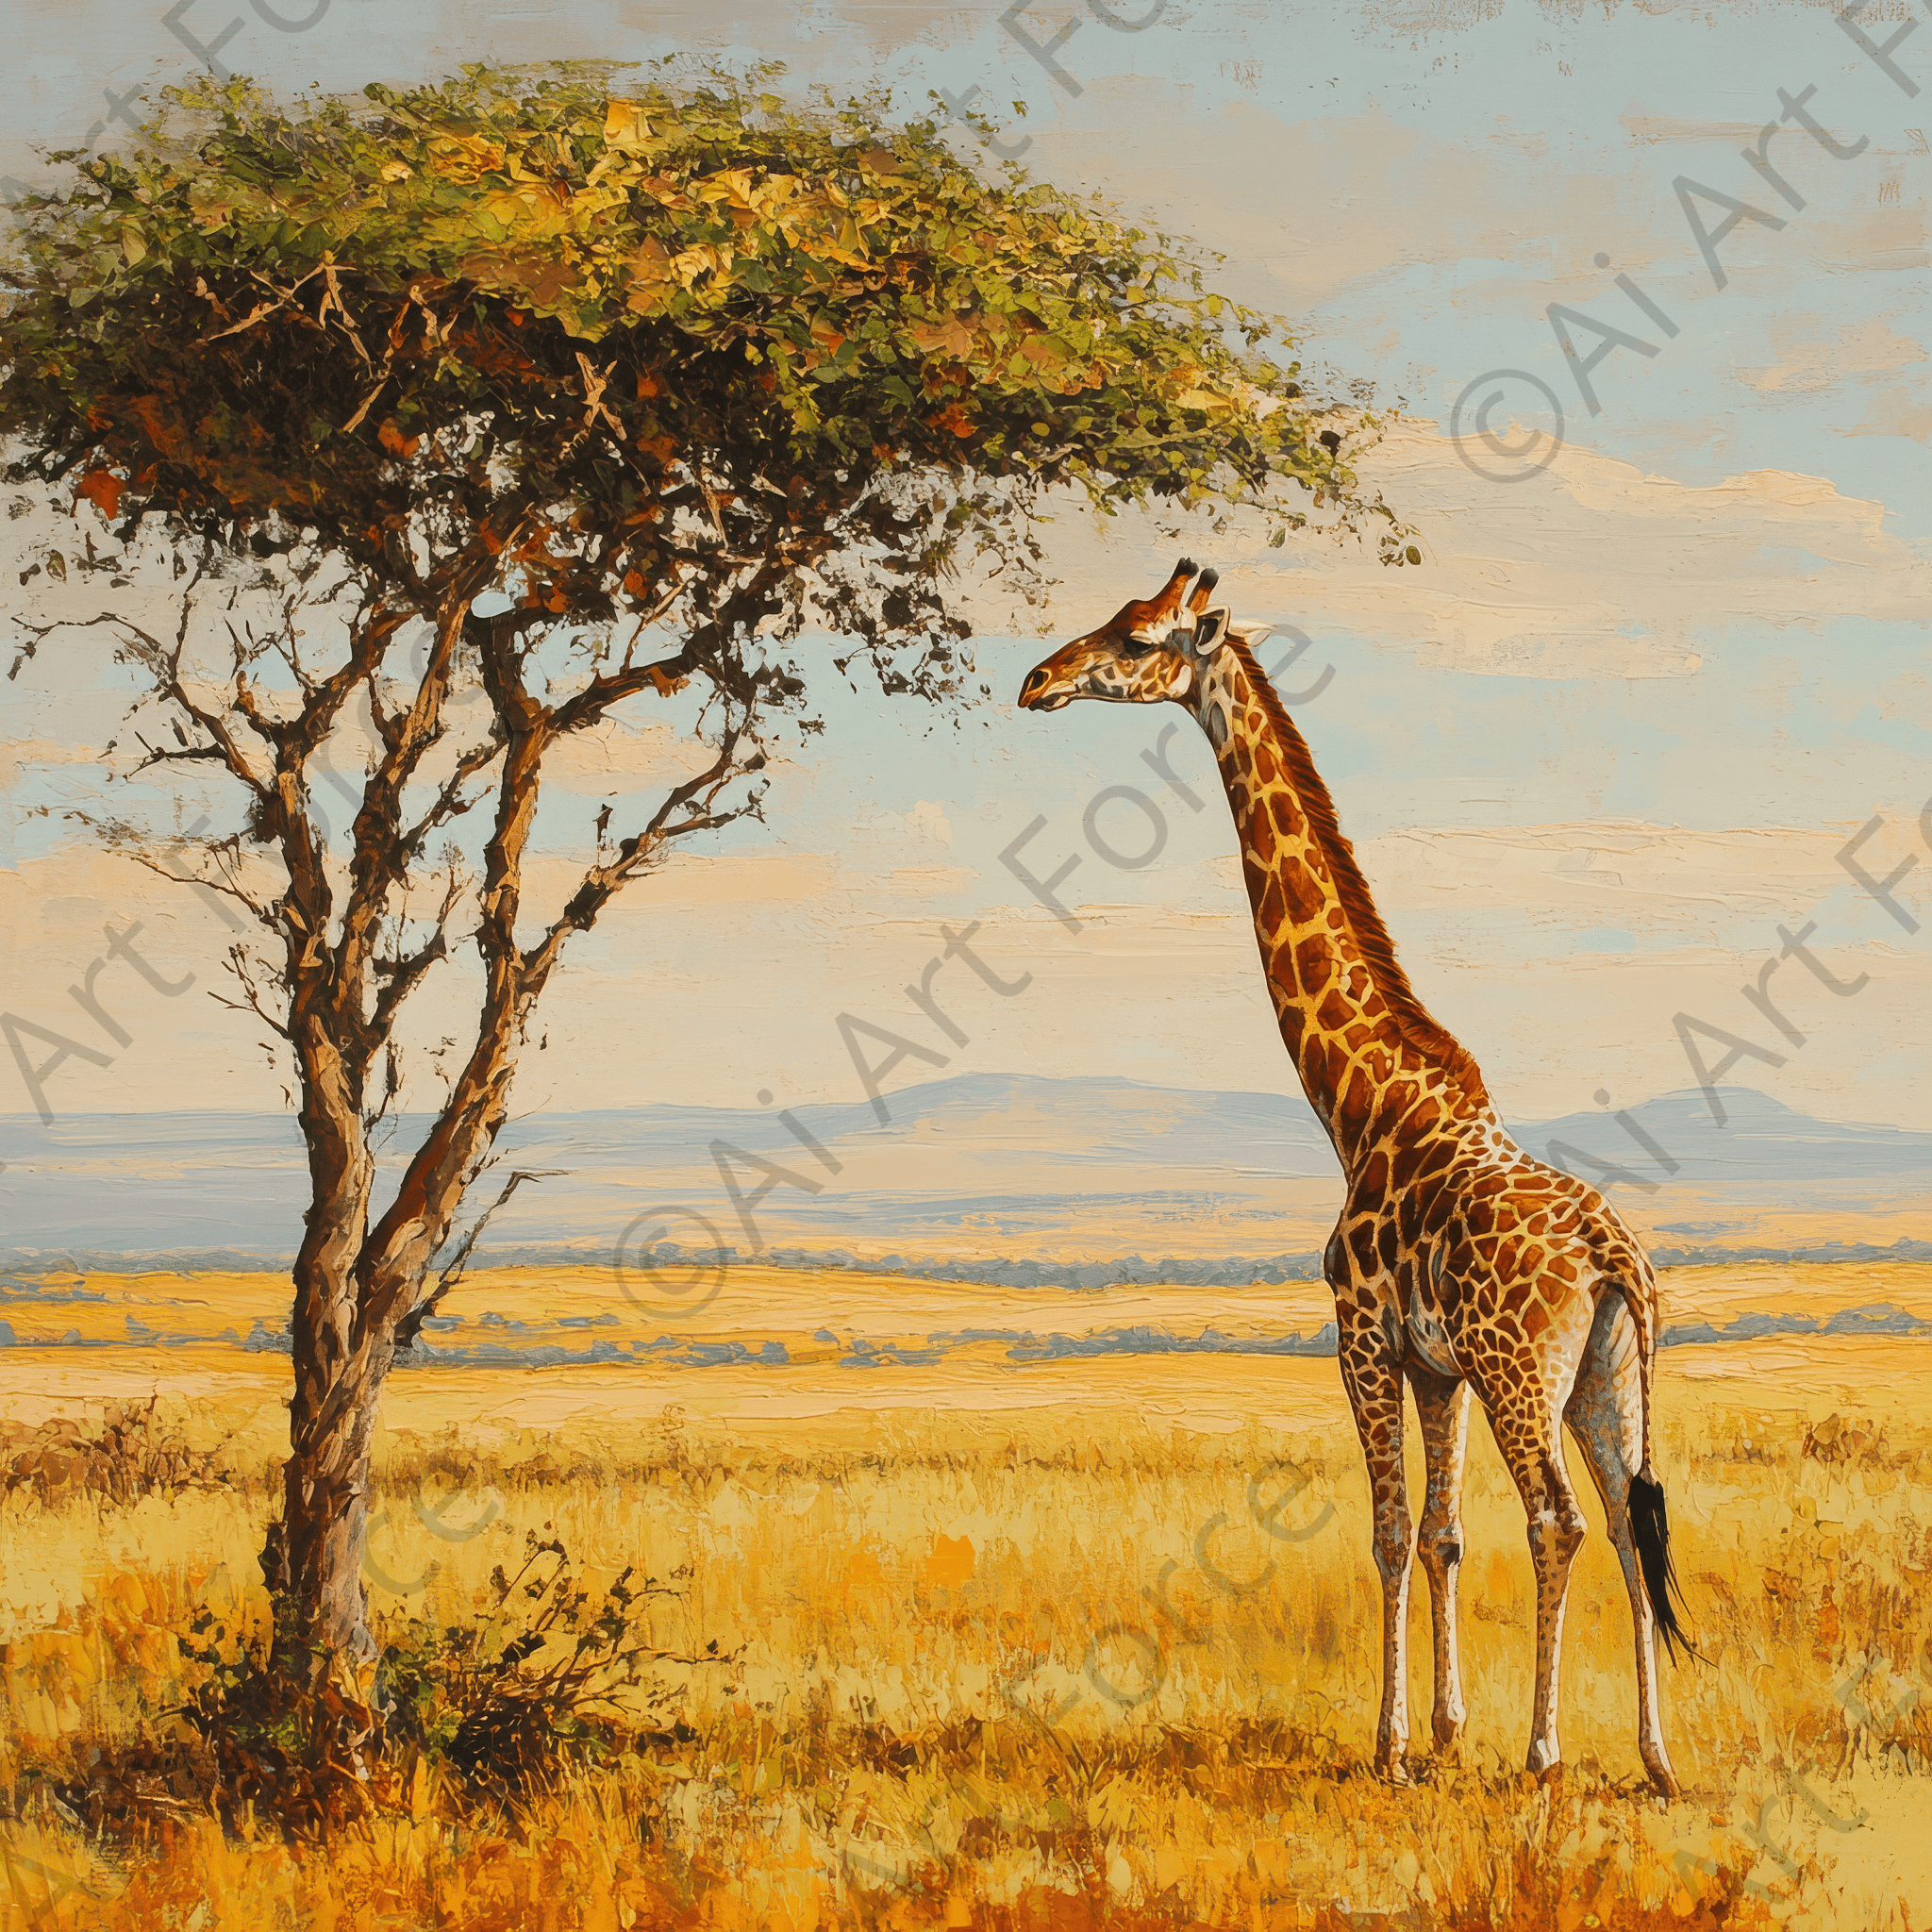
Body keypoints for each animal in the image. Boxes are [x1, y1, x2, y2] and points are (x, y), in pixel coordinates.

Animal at [1018, 557, 1692, 1798]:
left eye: (1134, 634)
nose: (1035, 679)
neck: (1358, 1098)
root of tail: (1614, 1257)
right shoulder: (1436, 1366)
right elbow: (1440, 1533)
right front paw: (1444, 1731)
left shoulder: (1361, 1336)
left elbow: (1383, 1533)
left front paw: (1389, 1747)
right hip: (1606, 1376)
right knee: (1631, 1518)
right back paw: (1655, 1758)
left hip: (1524, 1373)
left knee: (1559, 1519)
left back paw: (1544, 1752)